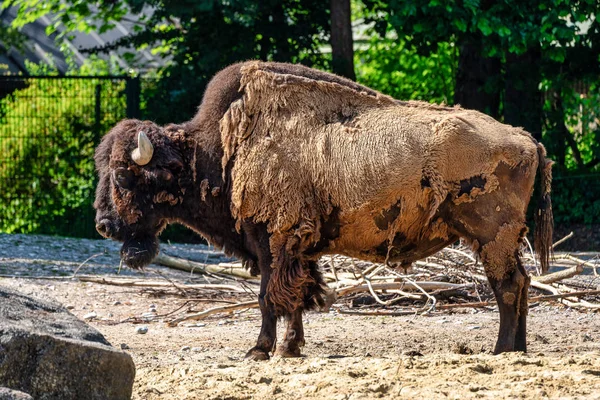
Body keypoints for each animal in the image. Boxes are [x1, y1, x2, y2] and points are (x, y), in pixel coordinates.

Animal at [94, 61, 552, 360]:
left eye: (122, 176)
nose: (103, 225)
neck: (220, 148)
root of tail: (528, 140)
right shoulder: (298, 247)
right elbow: (299, 294)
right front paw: (292, 347)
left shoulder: (273, 240)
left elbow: (269, 296)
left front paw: (260, 350)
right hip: (503, 241)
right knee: (522, 284)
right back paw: (518, 348)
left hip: (493, 237)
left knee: (507, 286)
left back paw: (500, 350)